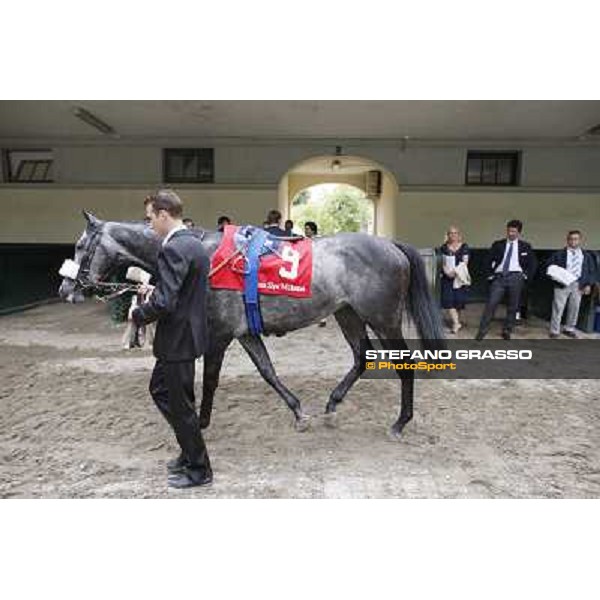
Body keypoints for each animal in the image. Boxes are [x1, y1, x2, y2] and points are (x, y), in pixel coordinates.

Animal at [59, 211, 446, 436]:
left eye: (79, 246)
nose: (65, 288)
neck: (204, 257)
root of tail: (391, 246)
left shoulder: (218, 335)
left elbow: (211, 379)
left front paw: (201, 422)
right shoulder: (244, 333)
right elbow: (268, 371)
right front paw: (298, 411)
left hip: (383, 319)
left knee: (404, 364)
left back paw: (400, 422)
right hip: (347, 313)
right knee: (361, 357)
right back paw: (333, 404)